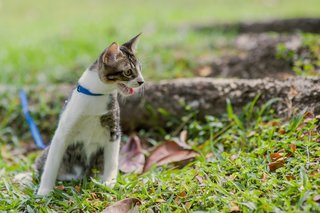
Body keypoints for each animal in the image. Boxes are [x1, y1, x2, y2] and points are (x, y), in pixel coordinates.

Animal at [35, 34, 144, 196]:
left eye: (140, 69)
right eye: (128, 72)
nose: (142, 81)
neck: (97, 94)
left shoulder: (113, 129)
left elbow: (112, 160)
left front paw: (109, 182)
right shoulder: (62, 133)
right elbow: (50, 165)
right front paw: (44, 191)